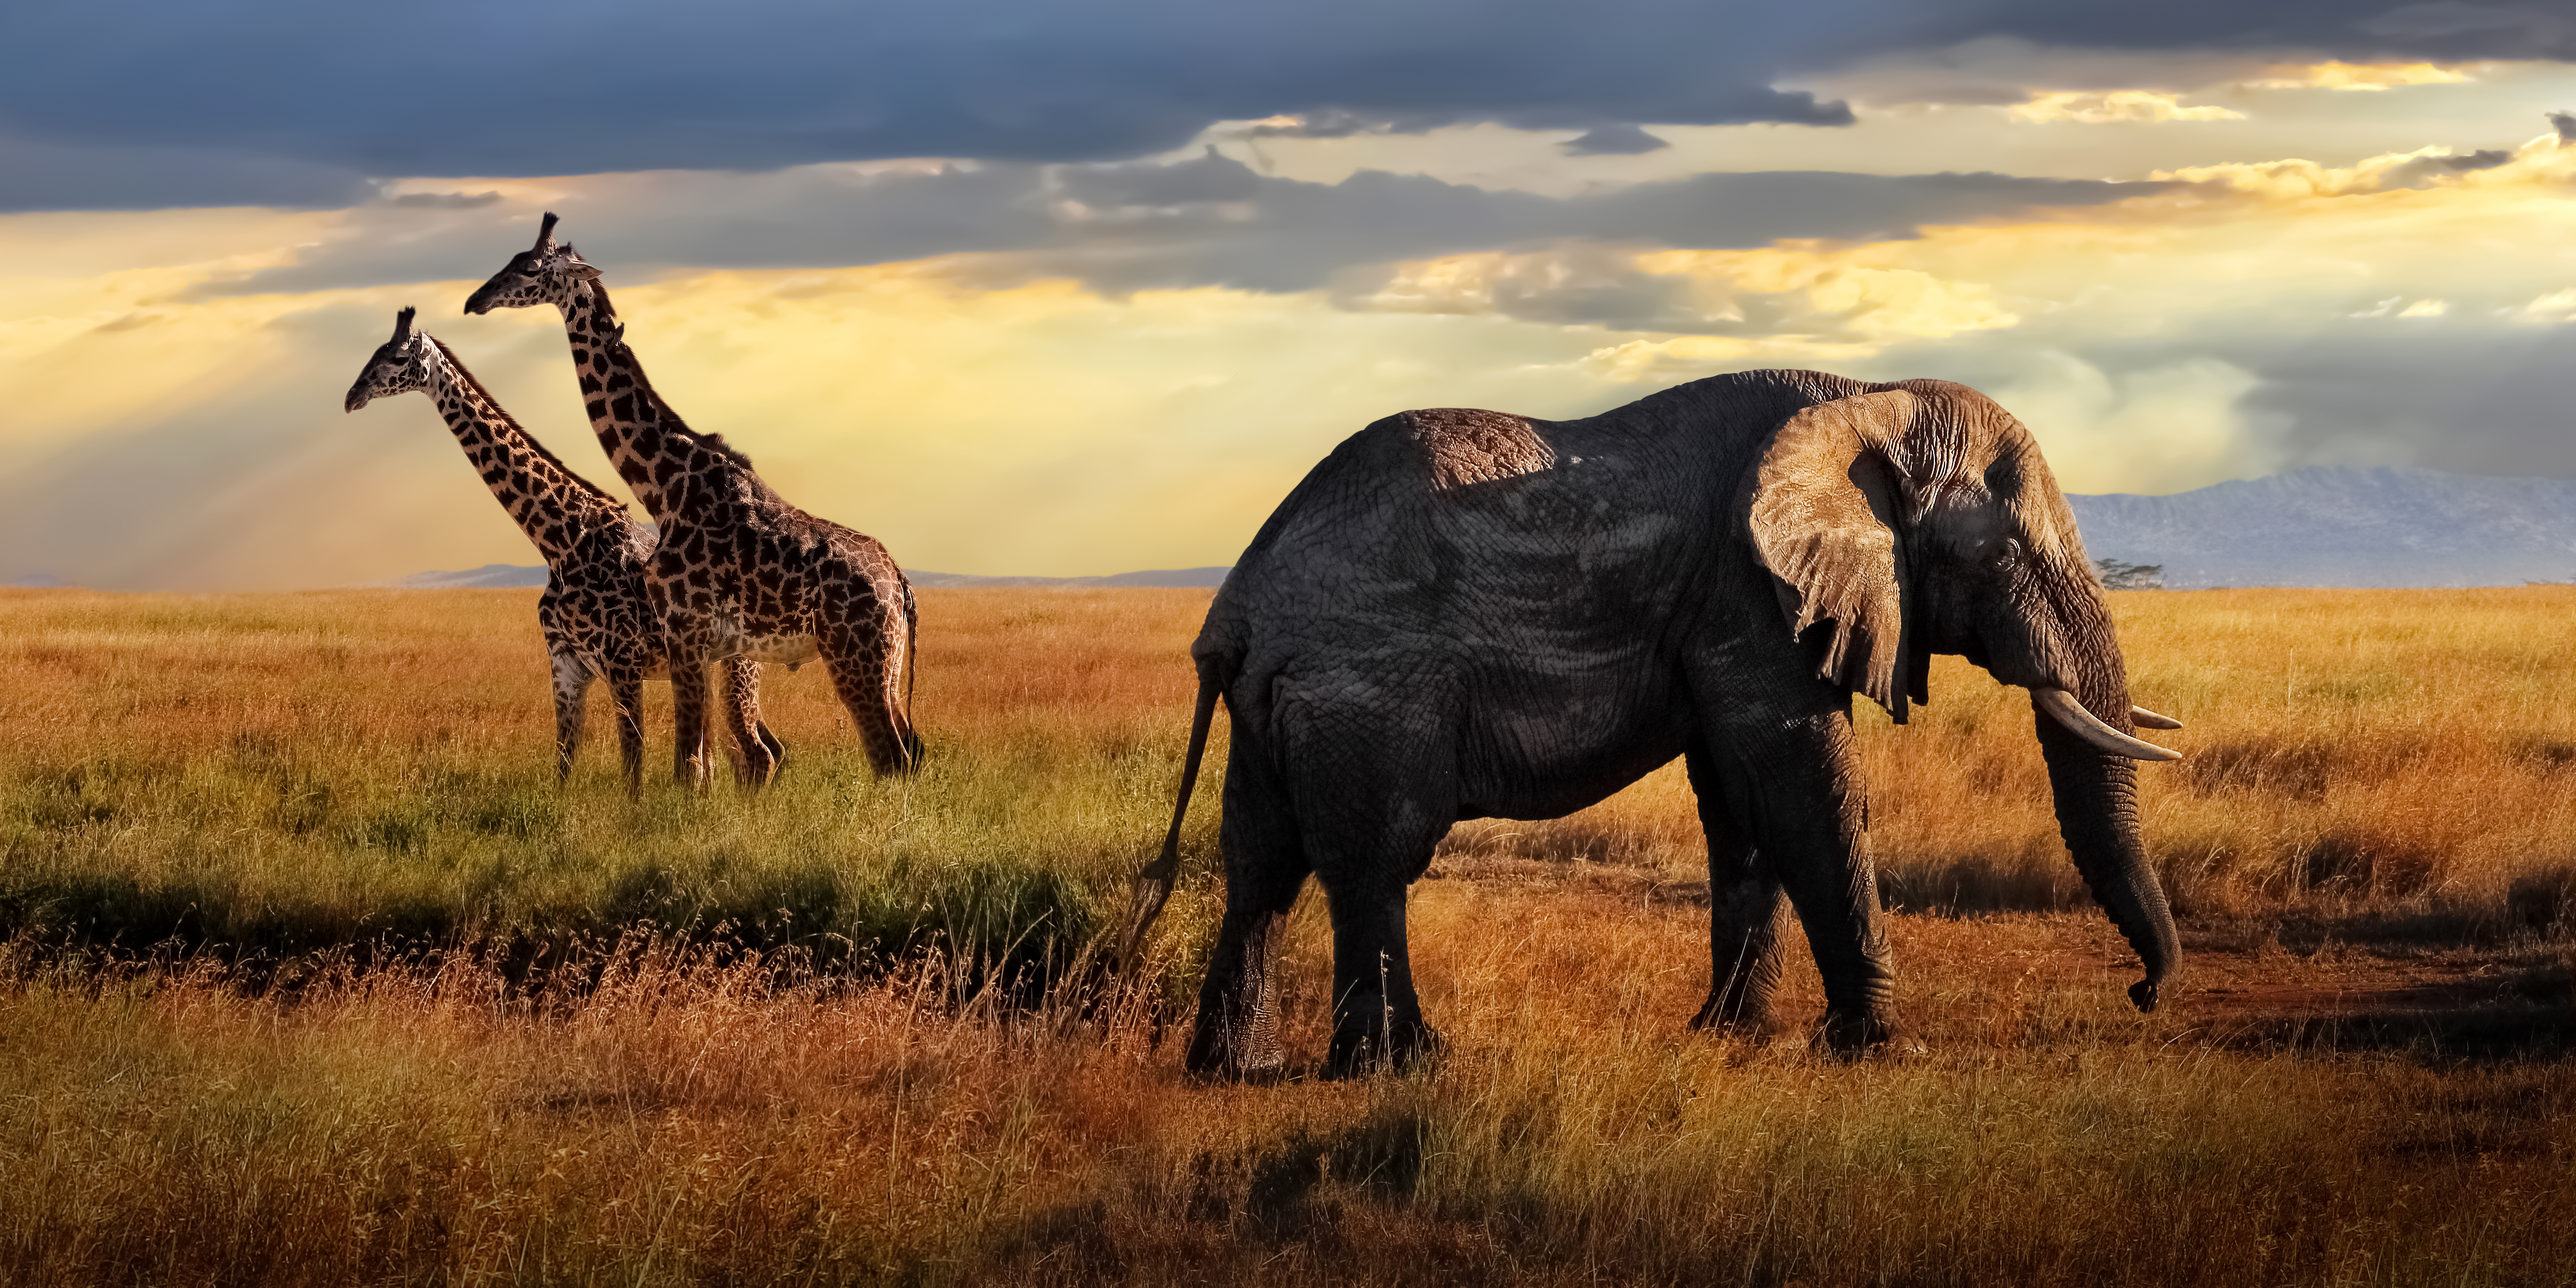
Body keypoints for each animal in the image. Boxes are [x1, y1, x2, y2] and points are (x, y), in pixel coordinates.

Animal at [343, 307, 788, 793]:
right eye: (374, 351)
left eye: (396, 356)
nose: (351, 397)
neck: (559, 541)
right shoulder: (566, 663)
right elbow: (564, 761)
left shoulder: (621, 661)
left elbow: (632, 764)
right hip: (707, 667)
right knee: (740, 753)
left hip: (739, 667)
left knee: (759, 752)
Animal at [465, 216, 921, 786]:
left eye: (529, 268)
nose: (475, 300)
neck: (665, 488)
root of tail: (901, 585)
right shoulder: (694, 643)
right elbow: (694, 762)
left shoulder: (685, 631)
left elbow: (686, 764)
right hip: (887, 663)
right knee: (908, 751)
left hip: (856, 656)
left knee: (888, 756)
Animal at [1118, 368, 2186, 1077]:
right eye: (1992, 554)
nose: (2142, 993)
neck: (1862, 398)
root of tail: (1235, 609)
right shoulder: (1744, 594)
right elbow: (1800, 781)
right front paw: (1880, 1047)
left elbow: (1743, 805)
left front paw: (1728, 1036)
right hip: (1366, 687)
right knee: (1373, 862)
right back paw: (1406, 1065)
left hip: (1277, 706)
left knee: (1262, 866)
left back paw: (1235, 1069)